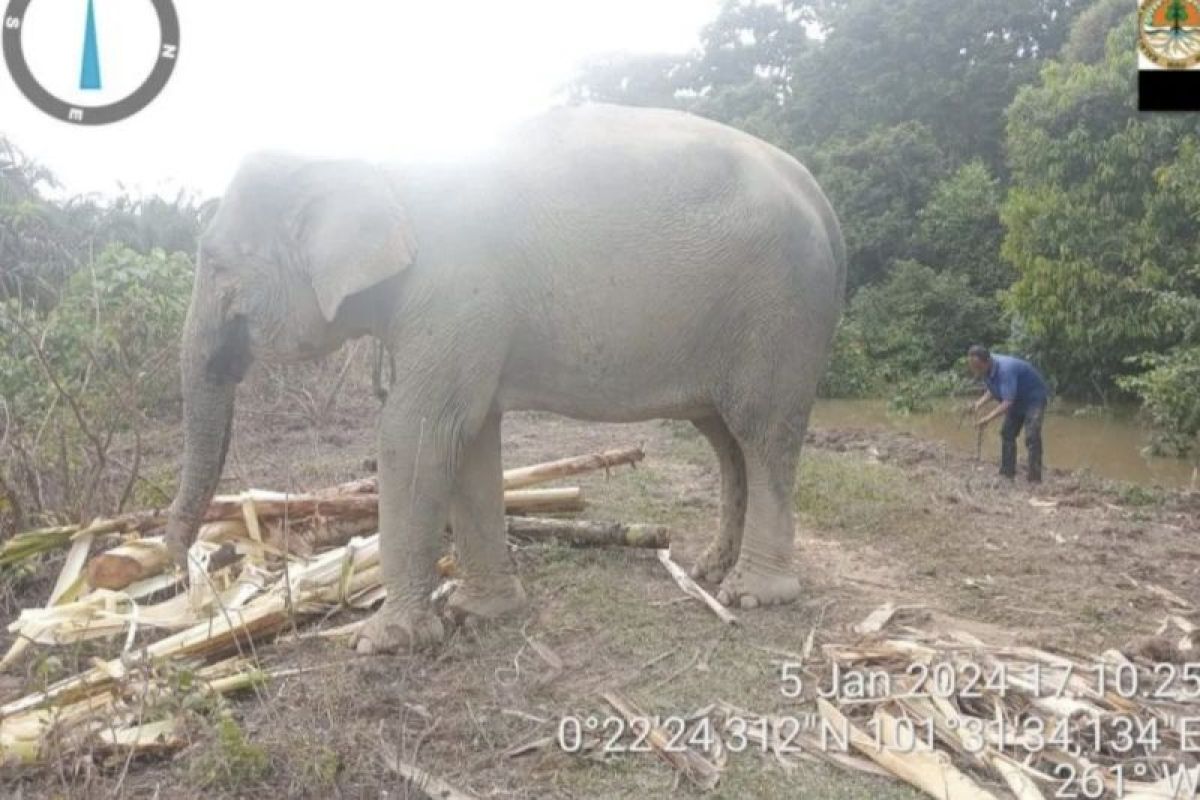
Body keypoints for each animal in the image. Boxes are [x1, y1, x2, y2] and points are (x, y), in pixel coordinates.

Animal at [166, 104, 844, 657]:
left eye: (217, 263)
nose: (187, 567)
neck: (371, 163)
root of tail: (821, 198)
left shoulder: (457, 291)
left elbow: (418, 430)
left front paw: (381, 643)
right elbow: (471, 435)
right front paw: (482, 613)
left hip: (779, 313)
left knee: (763, 433)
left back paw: (752, 595)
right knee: (726, 441)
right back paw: (708, 571)